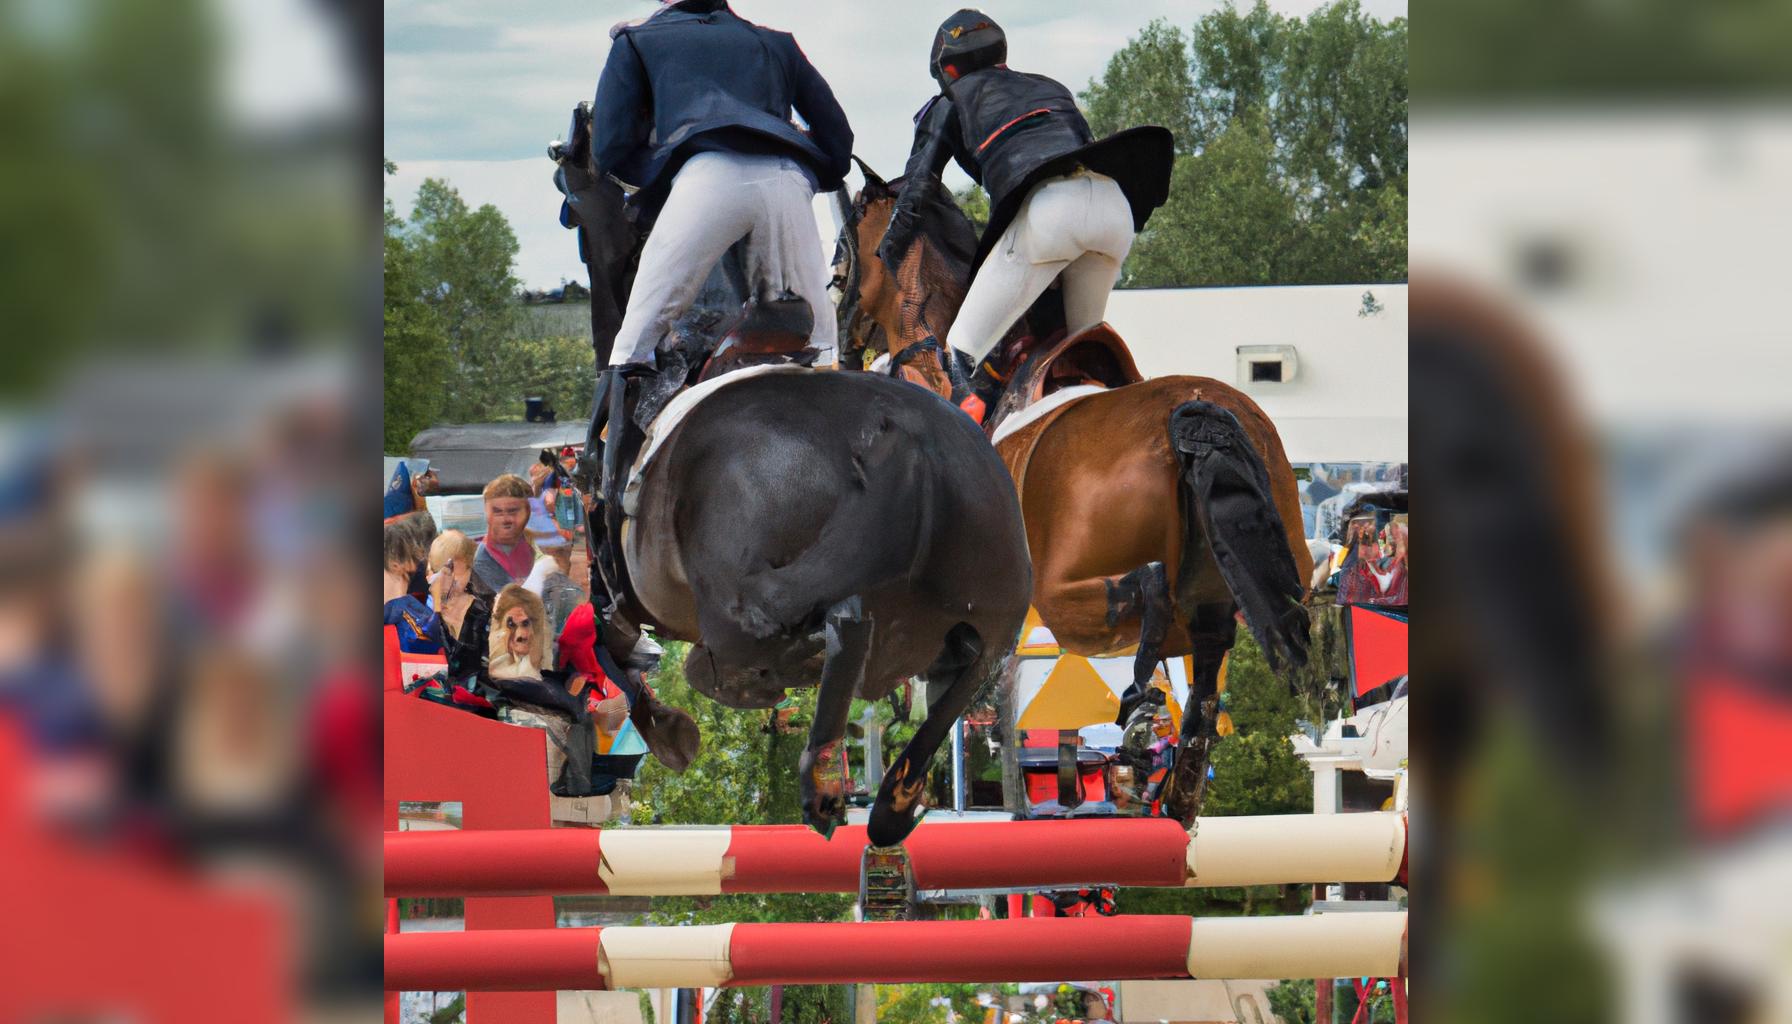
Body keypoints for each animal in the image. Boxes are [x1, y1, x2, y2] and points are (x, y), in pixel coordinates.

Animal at [831, 168, 1311, 824]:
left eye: (842, 254)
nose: (842, 345)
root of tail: (1197, 414)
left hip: (1066, 596)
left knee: (1158, 595)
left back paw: (1142, 715)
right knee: (1208, 647)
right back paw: (1178, 781)